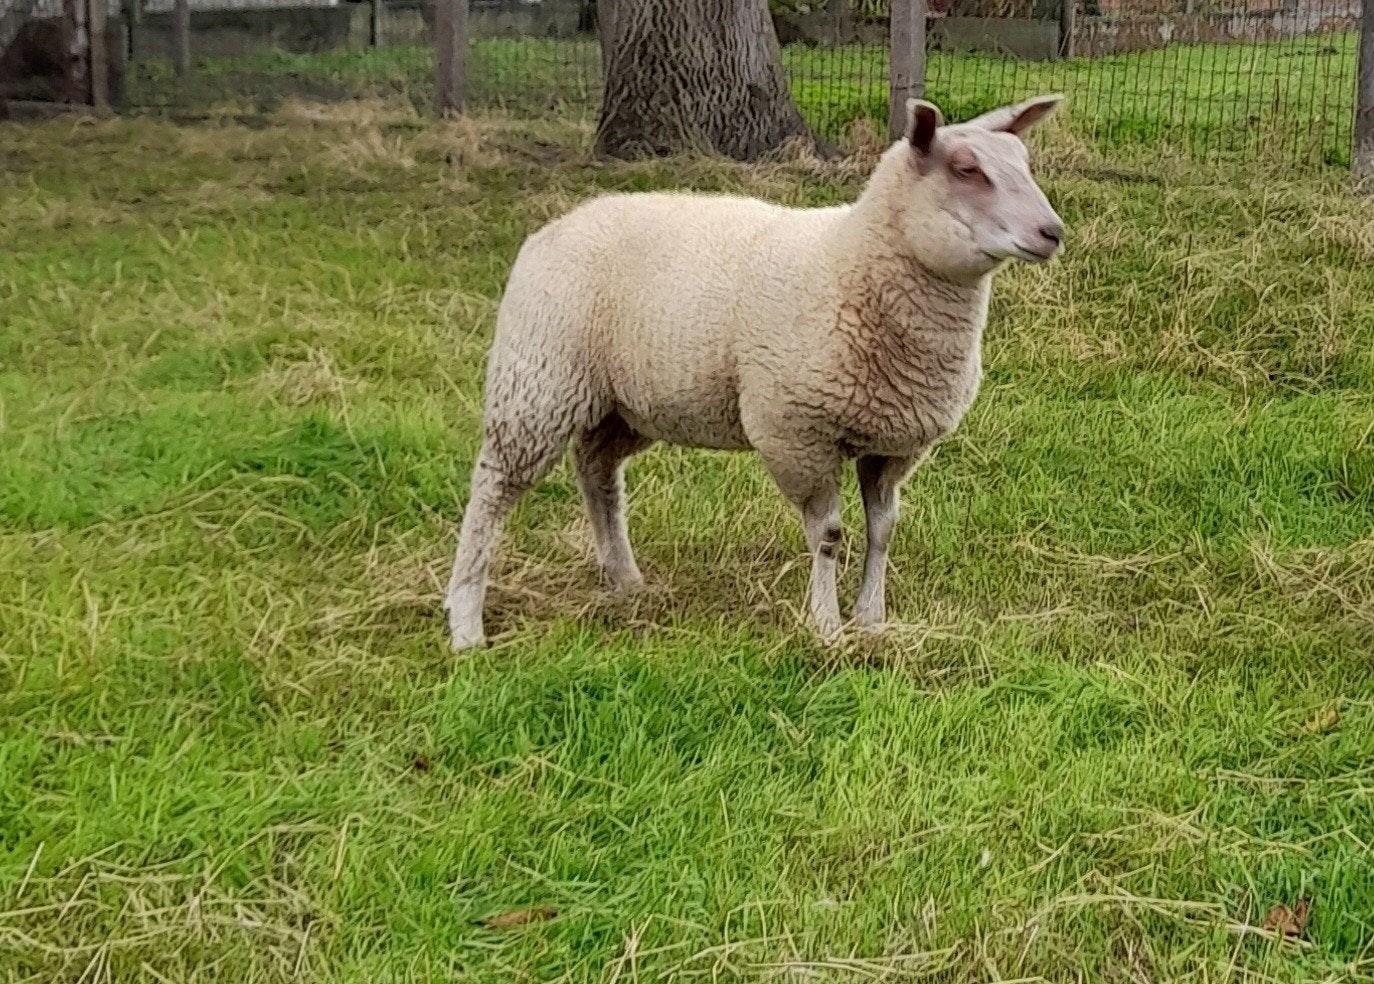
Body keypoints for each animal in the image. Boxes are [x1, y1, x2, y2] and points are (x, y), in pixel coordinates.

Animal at [444, 95, 1065, 650]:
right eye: (966, 170)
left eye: (1024, 162)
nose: (1052, 232)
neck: (852, 262)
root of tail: (557, 224)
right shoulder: (798, 432)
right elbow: (828, 536)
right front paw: (826, 627)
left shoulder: (894, 442)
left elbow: (883, 530)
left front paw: (872, 619)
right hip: (539, 378)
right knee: (493, 488)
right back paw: (466, 621)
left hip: (626, 403)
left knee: (596, 470)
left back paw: (625, 580)